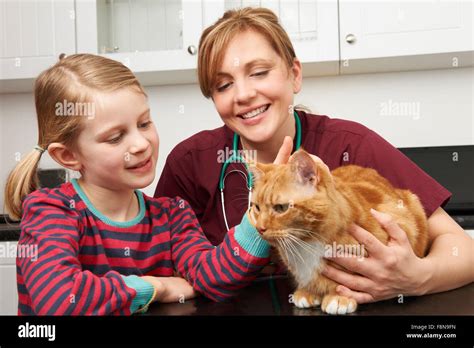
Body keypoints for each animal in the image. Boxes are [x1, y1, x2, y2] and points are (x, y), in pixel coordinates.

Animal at [250, 150, 428, 316]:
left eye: (281, 208)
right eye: (257, 207)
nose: (260, 228)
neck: (305, 242)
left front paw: (339, 296)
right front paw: (308, 291)